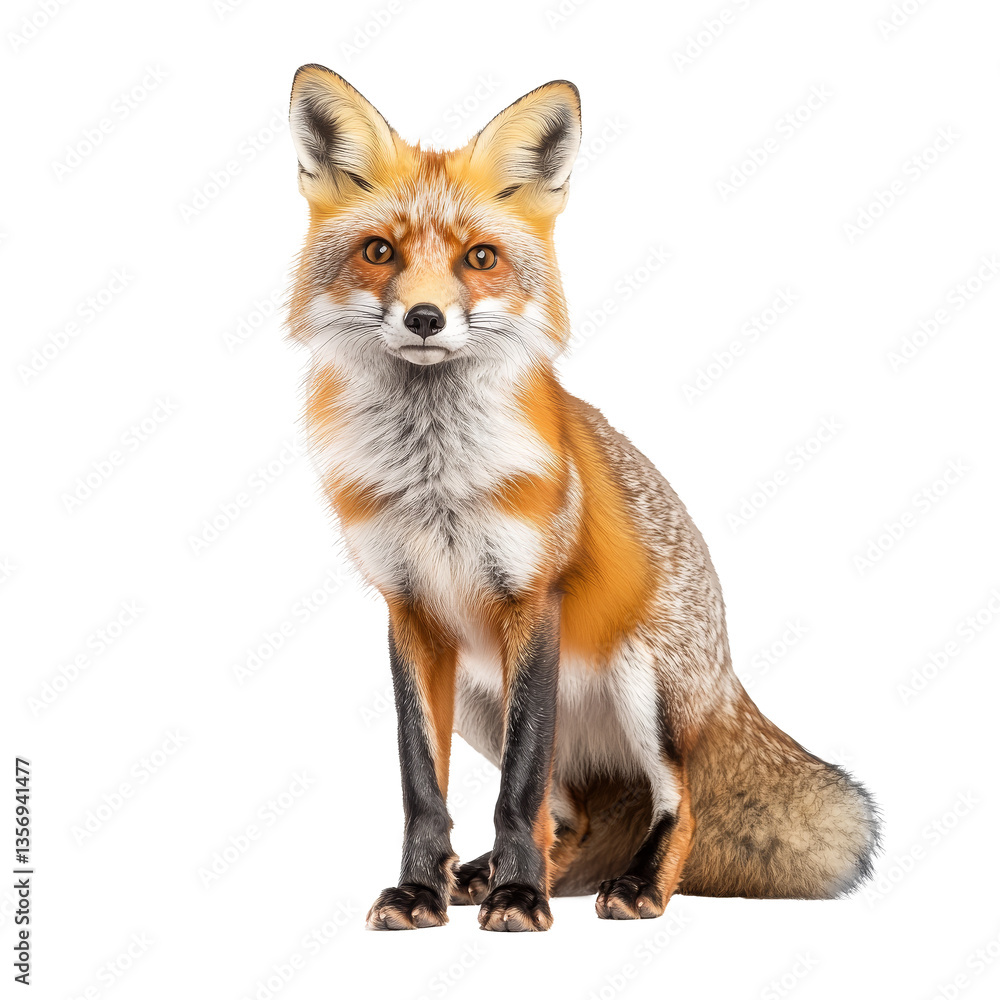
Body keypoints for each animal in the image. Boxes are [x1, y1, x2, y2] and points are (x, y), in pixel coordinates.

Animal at [286, 64, 880, 932]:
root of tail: (726, 677)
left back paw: (632, 886)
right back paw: (482, 876)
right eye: (378, 252)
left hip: (641, 682)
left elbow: (519, 786)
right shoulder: (411, 614)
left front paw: (521, 898)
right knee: (571, 815)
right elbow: (424, 789)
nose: (425, 317)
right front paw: (421, 891)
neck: (436, 477)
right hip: (480, 695)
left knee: (675, 802)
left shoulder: (534, 599)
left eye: (481, 258)